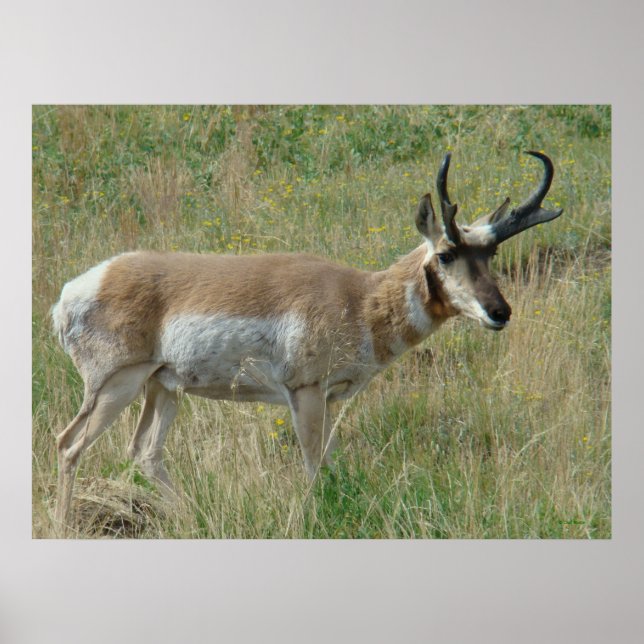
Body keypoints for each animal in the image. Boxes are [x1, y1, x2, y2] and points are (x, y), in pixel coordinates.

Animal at [51, 151, 563, 529]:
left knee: (144, 453)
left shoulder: (332, 399)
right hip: (117, 385)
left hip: (163, 388)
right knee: (69, 444)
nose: (500, 312)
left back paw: (192, 517)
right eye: (446, 253)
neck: (359, 299)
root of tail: (75, 291)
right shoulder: (306, 393)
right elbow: (314, 468)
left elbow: (329, 464)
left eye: (490, 253)